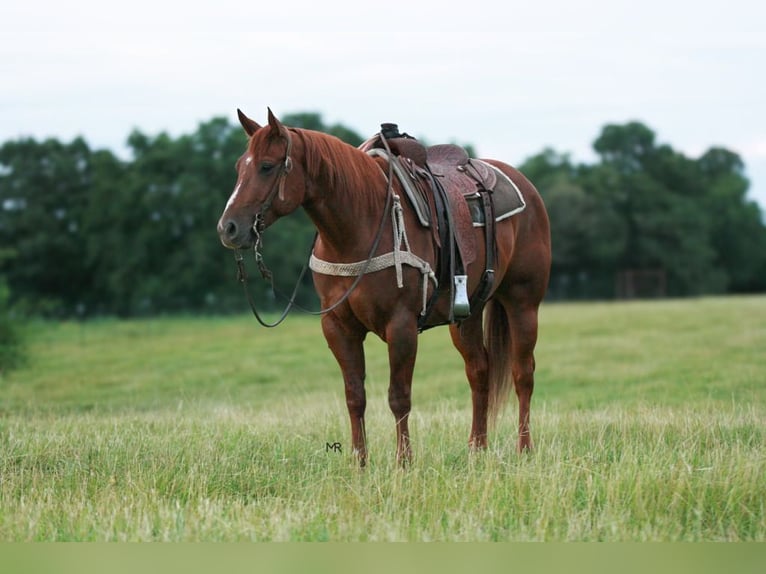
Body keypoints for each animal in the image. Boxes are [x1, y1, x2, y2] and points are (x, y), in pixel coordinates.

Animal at [217, 108, 551, 466]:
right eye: (239, 167)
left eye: (267, 166)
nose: (228, 228)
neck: (358, 227)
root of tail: (524, 186)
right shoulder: (338, 327)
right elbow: (354, 396)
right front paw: (359, 463)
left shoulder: (400, 325)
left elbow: (399, 396)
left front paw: (404, 463)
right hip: (469, 314)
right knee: (479, 370)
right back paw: (477, 449)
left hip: (522, 303)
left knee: (523, 373)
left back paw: (524, 448)